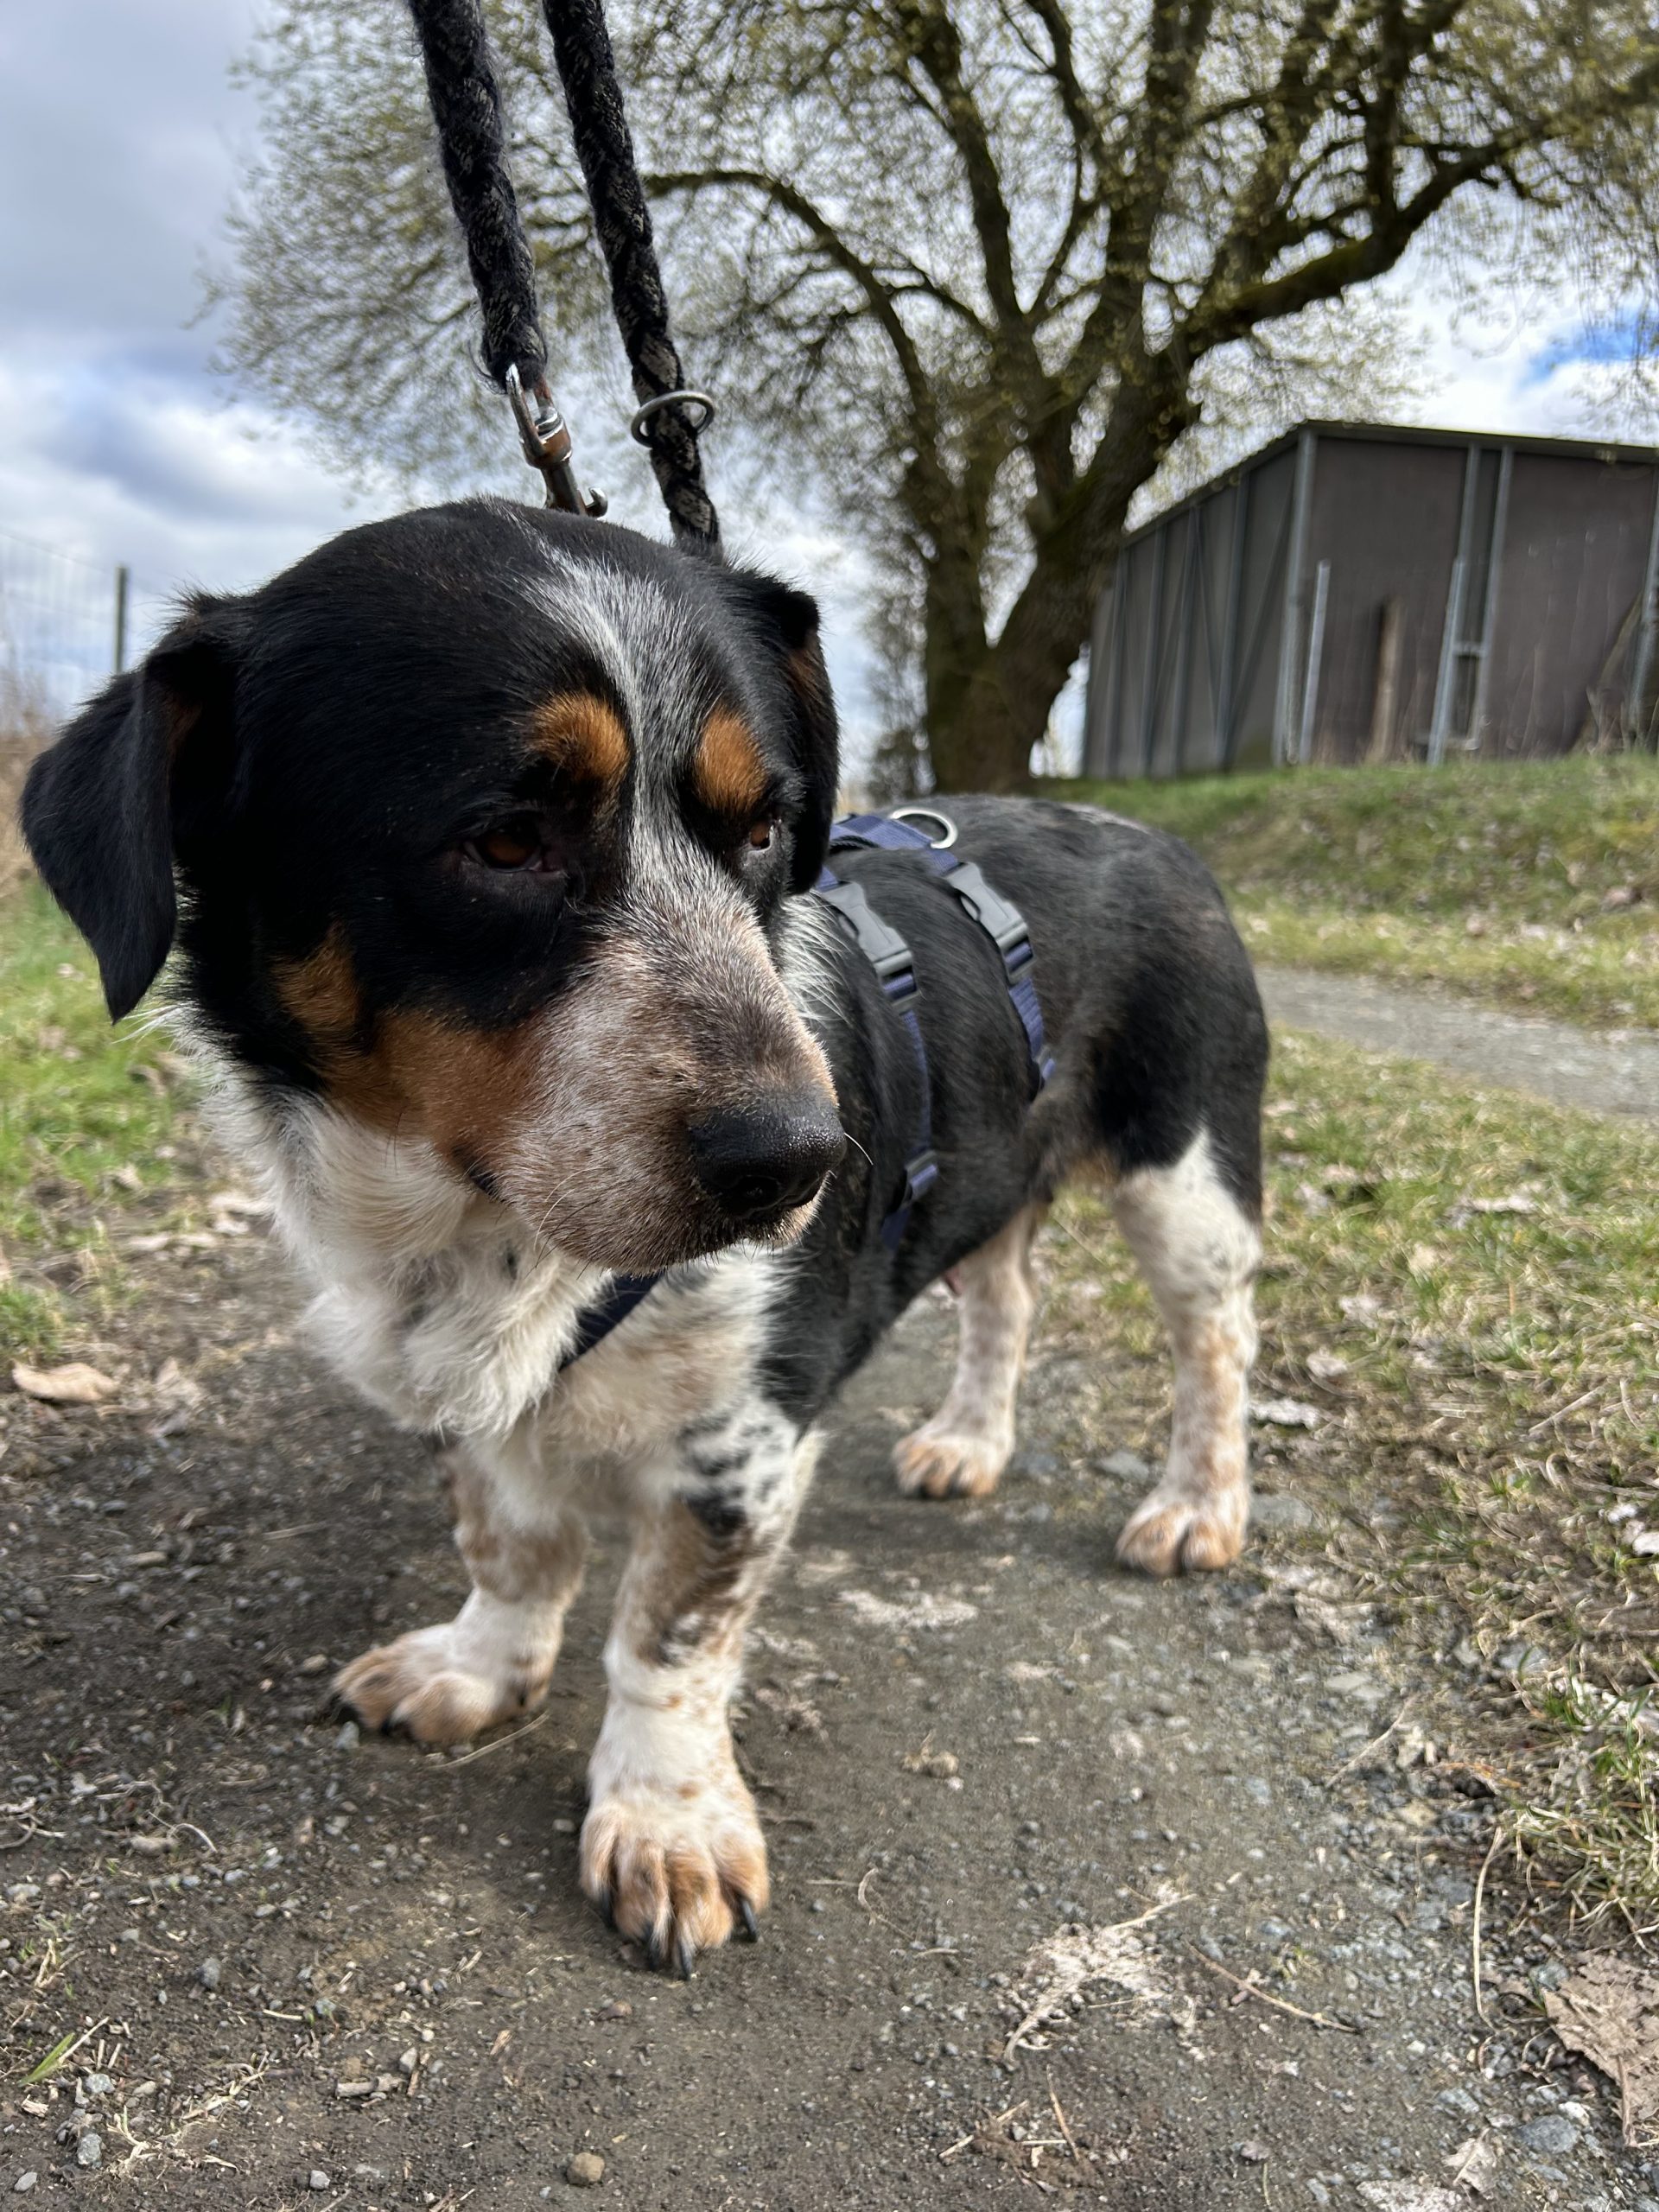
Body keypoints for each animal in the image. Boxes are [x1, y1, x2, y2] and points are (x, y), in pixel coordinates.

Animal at [22, 497, 1268, 1974]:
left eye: (765, 827)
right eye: (503, 840)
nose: (801, 1159)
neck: (496, 1234)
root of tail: (1155, 836)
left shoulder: (744, 1434)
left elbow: (669, 1637)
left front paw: (665, 1821)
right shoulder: (477, 1395)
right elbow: (509, 1544)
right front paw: (480, 1667)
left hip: (1185, 1177)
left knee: (1216, 1348)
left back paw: (1196, 1508)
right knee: (1007, 1295)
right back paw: (969, 1442)